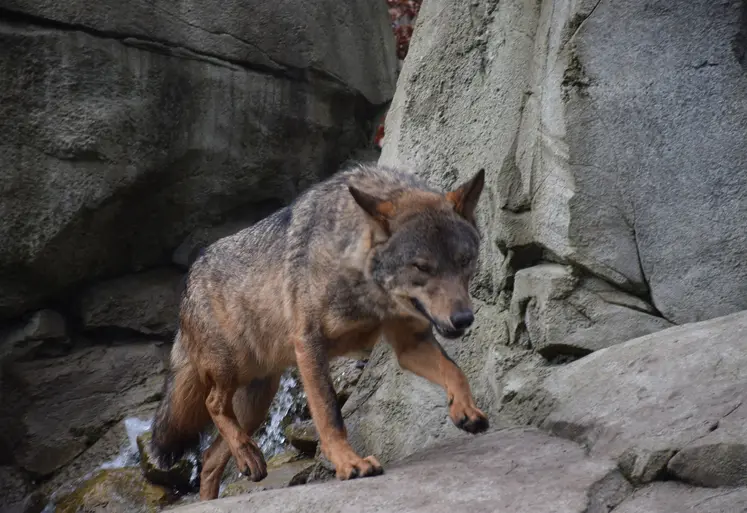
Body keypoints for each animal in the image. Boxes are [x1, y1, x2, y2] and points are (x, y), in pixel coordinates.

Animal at [150, 162, 489, 500]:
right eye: (421, 267)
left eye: (465, 261)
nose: (463, 319)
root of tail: (191, 275)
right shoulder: (309, 344)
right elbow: (329, 414)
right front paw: (350, 464)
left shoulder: (410, 344)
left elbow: (456, 372)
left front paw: (465, 409)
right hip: (232, 370)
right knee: (212, 405)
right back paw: (245, 453)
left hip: (257, 402)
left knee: (209, 458)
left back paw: (238, 468)